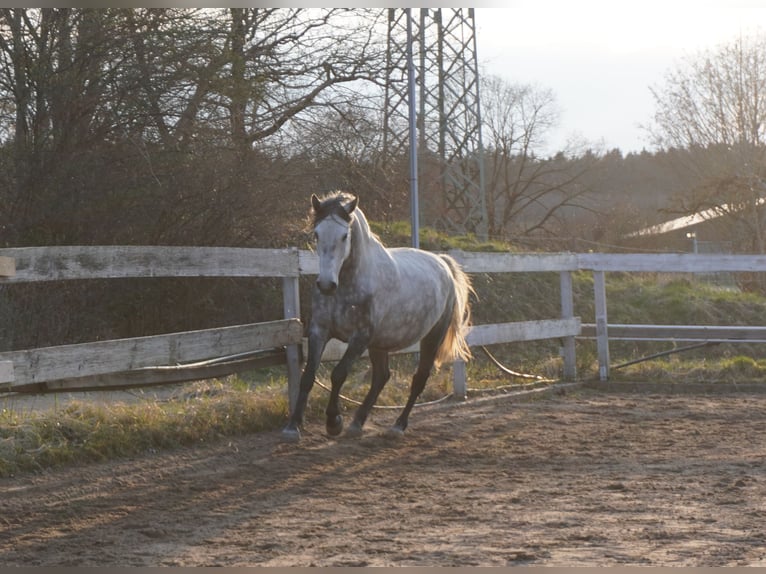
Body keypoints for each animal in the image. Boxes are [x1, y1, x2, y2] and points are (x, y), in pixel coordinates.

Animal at [282, 191, 474, 441]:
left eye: (345, 235)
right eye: (317, 233)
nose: (326, 285)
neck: (350, 282)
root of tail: (443, 262)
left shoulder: (360, 337)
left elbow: (338, 374)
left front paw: (333, 422)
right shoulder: (319, 330)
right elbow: (308, 376)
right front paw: (292, 426)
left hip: (432, 336)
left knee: (419, 378)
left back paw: (398, 425)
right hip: (380, 343)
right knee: (382, 377)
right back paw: (358, 422)